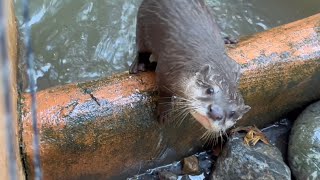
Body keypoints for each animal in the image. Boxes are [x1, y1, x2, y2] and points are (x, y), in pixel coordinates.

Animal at [129, 0, 250, 134]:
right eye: (210, 90)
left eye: (233, 113)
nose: (216, 112)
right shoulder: (166, 68)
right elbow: (165, 91)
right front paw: (164, 111)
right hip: (142, 24)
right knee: (142, 48)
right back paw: (139, 65)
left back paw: (227, 39)